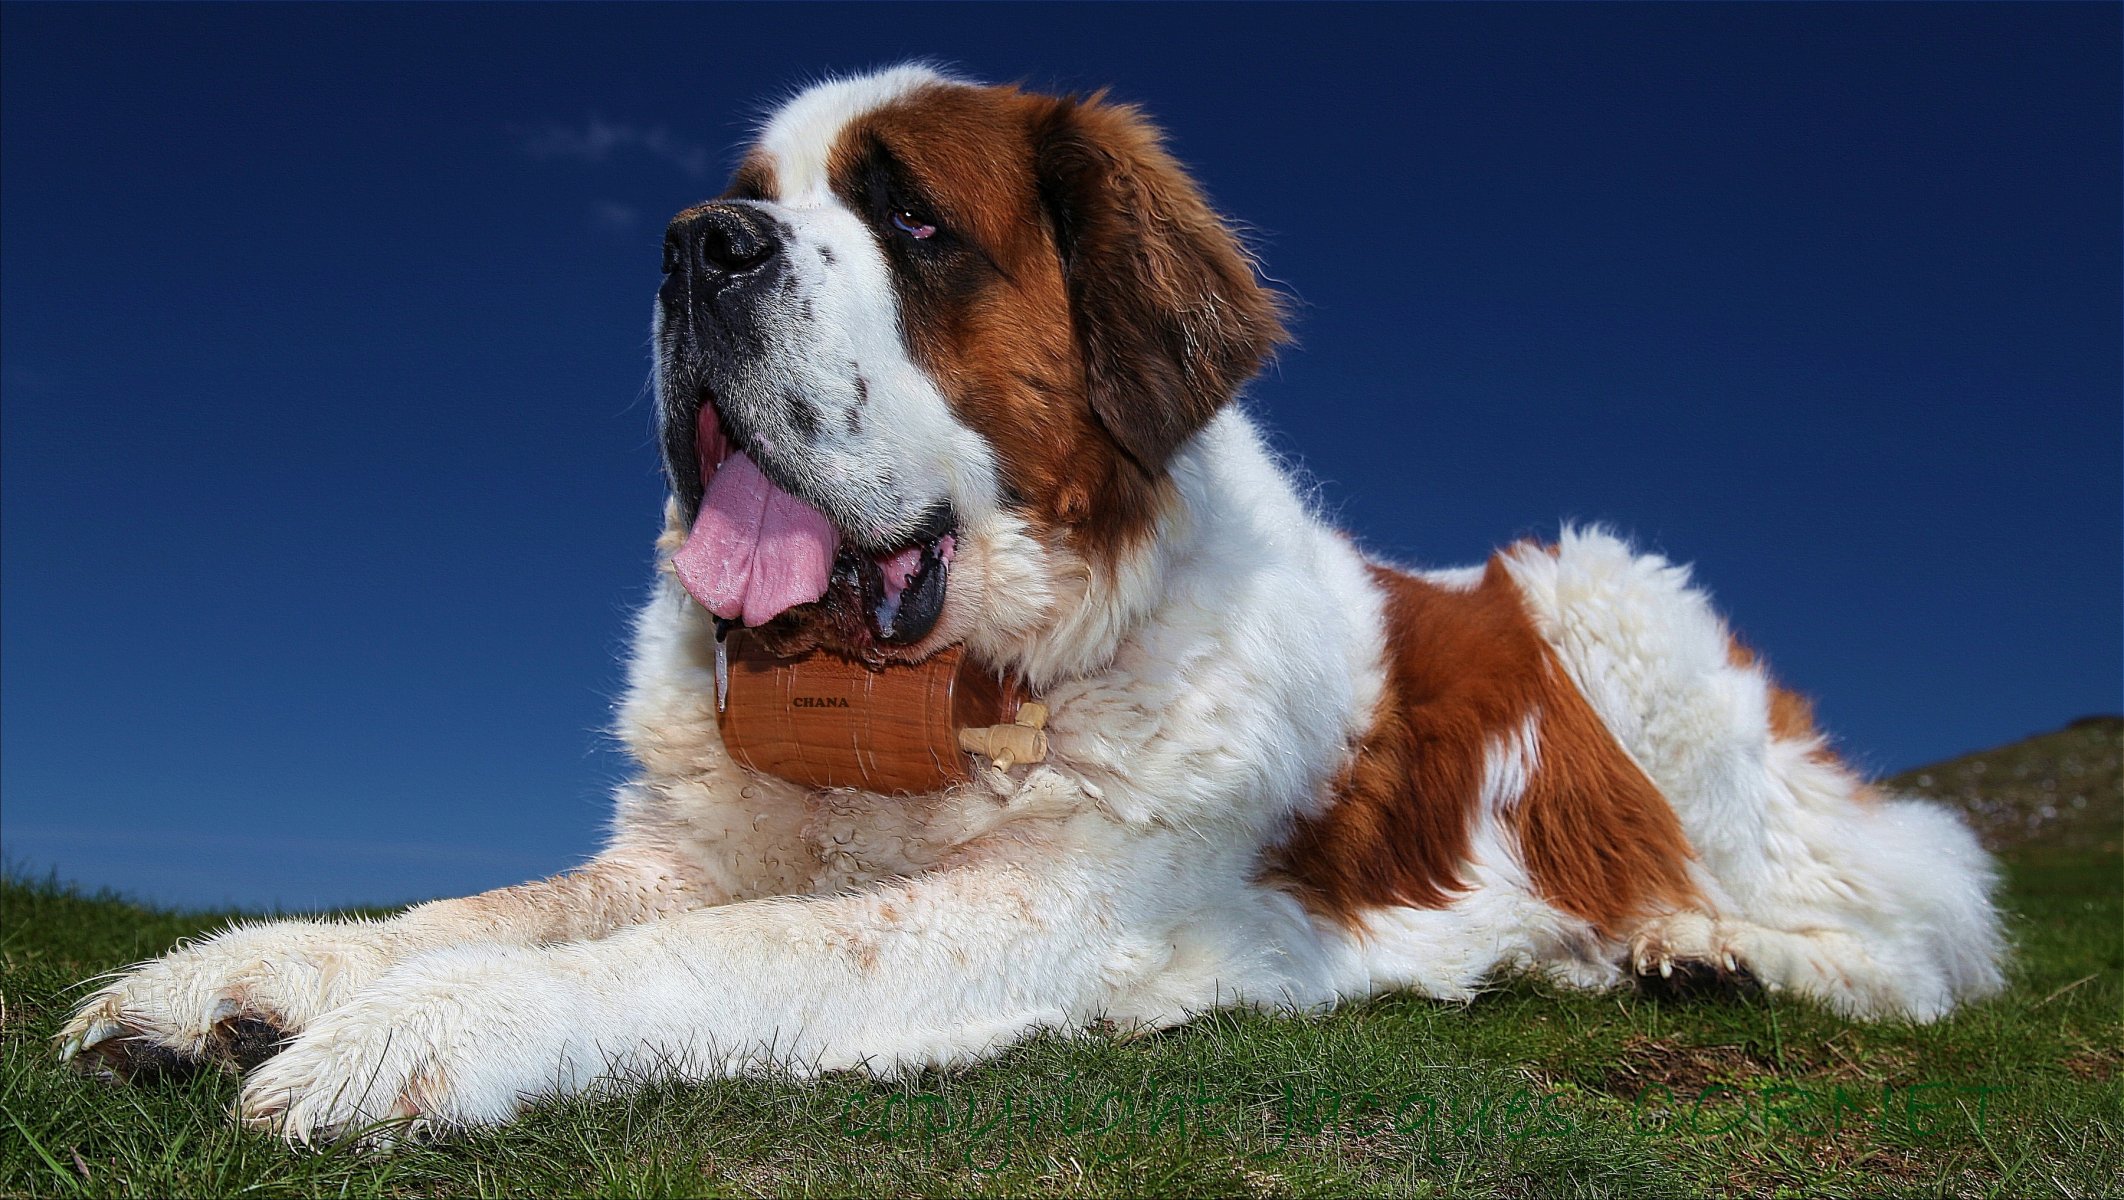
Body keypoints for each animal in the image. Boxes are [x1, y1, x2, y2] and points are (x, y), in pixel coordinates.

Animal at [53, 67, 2005, 1138]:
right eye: (746, 205)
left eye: (911, 223)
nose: (694, 247)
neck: (909, 689)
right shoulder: (682, 850)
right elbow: (500, 904)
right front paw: (241, 980)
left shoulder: (1036, 913)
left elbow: (708, 952)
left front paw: (421, 1032)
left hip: (1606, 599)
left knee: (1901, 924)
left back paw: (1697, 947)